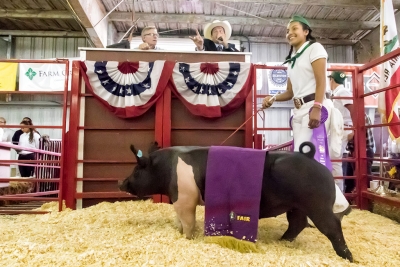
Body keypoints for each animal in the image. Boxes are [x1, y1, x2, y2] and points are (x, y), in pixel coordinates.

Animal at [119, 141, 354, 262]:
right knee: (297, 224)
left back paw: (348, 257)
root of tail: (311, 159)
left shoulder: (186, 198)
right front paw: (179, 233)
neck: (167, 168)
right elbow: (178, 220)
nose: (121, 182)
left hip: (318, 205)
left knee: (332, 226)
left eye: (137, 169)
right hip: (296, 206)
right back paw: (281, 241)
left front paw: (187, 238)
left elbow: (187, 221)